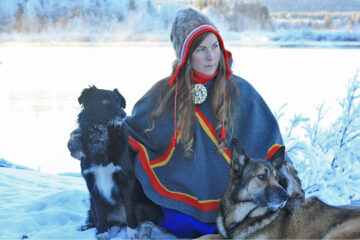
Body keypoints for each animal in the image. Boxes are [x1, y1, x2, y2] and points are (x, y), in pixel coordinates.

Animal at [74, 86, 160, 238]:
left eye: (119, 102)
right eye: (105, 101)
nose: (123, 114)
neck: (101, 135)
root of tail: (120, 221)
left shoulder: (126, 179)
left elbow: (130, 210)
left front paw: (132, 233)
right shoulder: (92, 182)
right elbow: (100, 211)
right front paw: (102, 232)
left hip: (148, 203)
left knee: (147, 219)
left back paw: (144, 229)